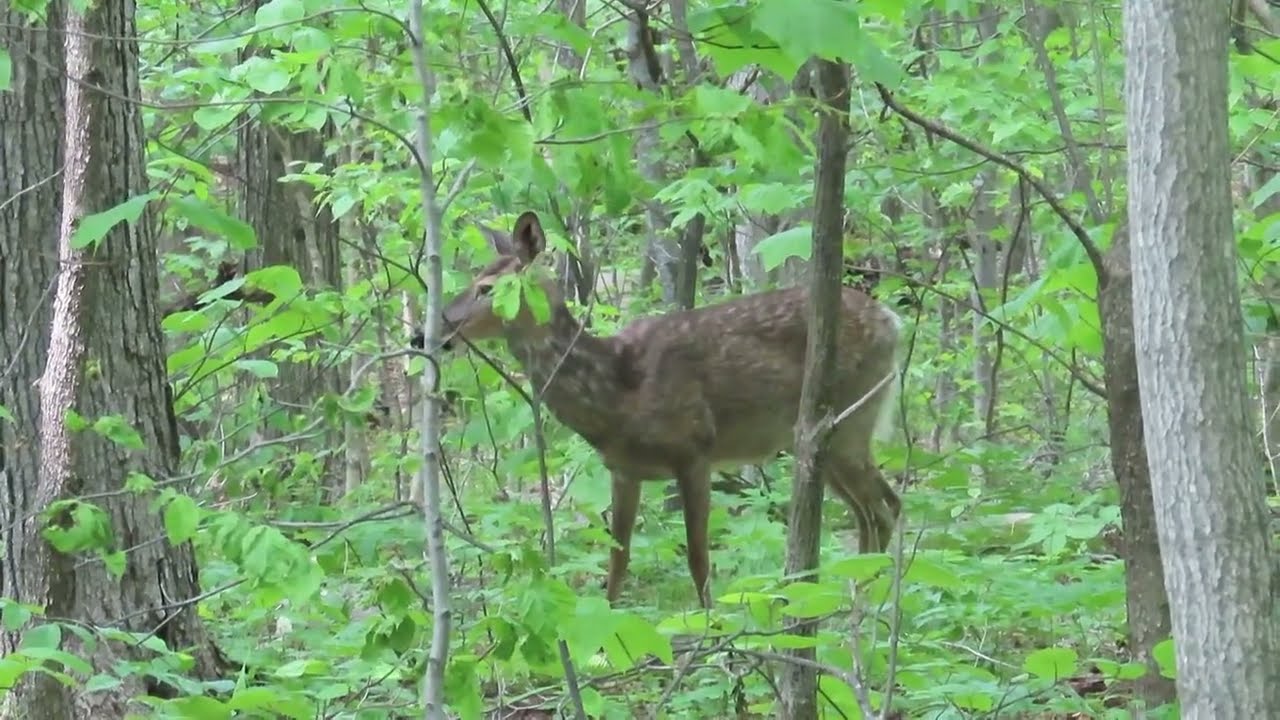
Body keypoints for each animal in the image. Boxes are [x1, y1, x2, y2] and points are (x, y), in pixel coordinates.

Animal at [436, 210, 904, 608]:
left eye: (487, 288)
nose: (436, 331)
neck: (617, 394)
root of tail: (890, 320)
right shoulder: (624, 469)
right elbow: (617, 560)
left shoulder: (695, 449)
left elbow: (698, 558)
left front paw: (711, 628)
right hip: (825, 436)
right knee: (875, 509)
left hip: (849, 419)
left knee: (883, 508)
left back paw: (865, 606)